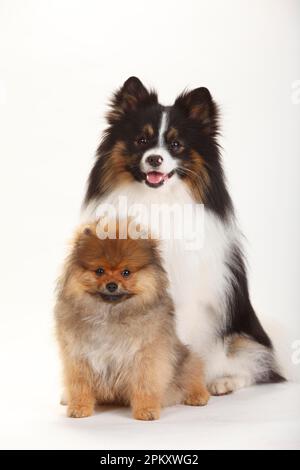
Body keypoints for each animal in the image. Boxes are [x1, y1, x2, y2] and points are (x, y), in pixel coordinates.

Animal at [55, 222, 210, 420]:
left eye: (126, 272)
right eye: (99, 271)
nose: (112, 285)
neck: (110, 314)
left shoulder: (146, 357)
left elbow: (145, 385)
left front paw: (146, 410)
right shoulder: (78, 356)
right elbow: (80, 385)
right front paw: (79, 407)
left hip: (185, 360)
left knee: (192, 374)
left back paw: (198, 395)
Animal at [81, 77, 284, 392]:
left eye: (176, 145)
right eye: (142, 141)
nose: (155, 159)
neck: (158, 200)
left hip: (242, 334)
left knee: (256, 365)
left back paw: (223, 382)